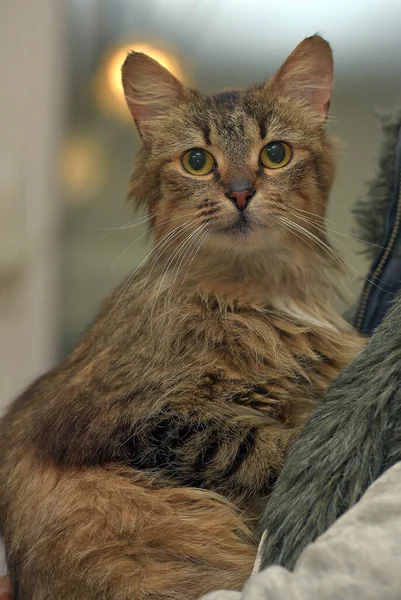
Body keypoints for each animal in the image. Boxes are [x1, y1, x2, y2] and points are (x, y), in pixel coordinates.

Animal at [0, 35, 362, 596]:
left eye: (275, 154)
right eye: (197, 161)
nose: (240, 193)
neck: (251, 295)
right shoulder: (138, 423)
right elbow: (262, 445)